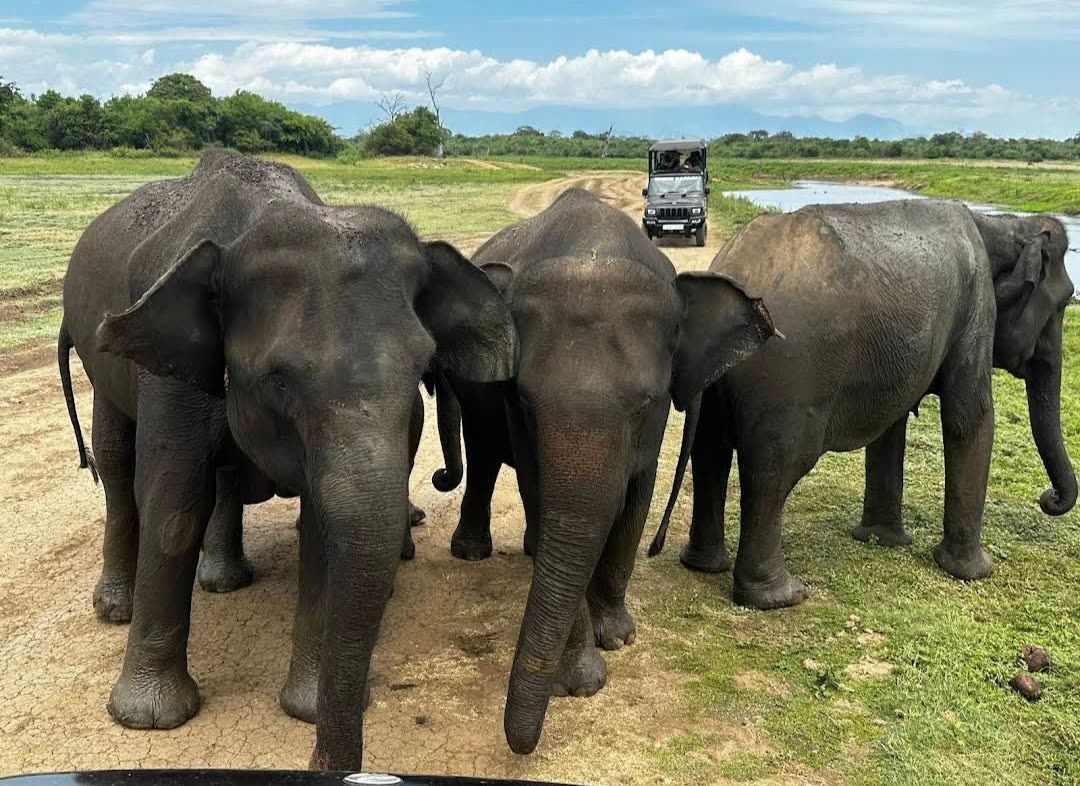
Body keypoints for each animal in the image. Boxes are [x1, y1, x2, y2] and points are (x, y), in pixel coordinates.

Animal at [57, 148, 516, 770]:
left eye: (423, 366)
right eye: (279, 380)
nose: (442, 478)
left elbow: (322, 519)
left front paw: (306, 707)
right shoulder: (169, 373)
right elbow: (174, 502)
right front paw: (148, 719)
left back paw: (224, 580)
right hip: (100, 358)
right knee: (116, 460)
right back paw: (116, 608)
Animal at [433, 189, 779, 755]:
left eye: (645, 405)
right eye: (523, 402)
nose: (520, 744)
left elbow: (636, 498)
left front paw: (616, 637)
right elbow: (543, 496)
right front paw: (581, 681)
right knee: (483, 454)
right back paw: (477, 552)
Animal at [650, 200, 1076, 610]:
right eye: (1064, 302)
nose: (1049, 499)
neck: (1002, 224)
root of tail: (732, 264)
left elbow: (893, 424)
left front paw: (882, 540)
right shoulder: (976, 305)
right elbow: (969, 417)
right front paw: (972, 572)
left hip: (719, 377)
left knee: (711, 455)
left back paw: (705, 566)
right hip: (787, 382)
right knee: (773, 473)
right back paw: (782, 597)